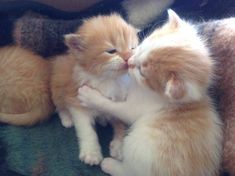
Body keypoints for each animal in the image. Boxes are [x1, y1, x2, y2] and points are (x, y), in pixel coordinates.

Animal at [49, 14, 138, 166]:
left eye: (132, 48)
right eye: (111, 51)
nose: (128, 57)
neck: (108, 79)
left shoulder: (120, 99)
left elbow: (120, 122)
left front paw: (119, 146)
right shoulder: (76, 99)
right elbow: (87, 130)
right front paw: (91, 153)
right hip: (58, 84)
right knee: (60, 106)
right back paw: (67, 118)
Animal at [78, 10, 223, 176]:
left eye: (142, 72)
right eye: (141, 47)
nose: (129, 62)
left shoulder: (136, 108)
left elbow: (115, 107)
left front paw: (89, 96)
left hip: (137, 147)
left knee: (130, 172)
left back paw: (110, 165)